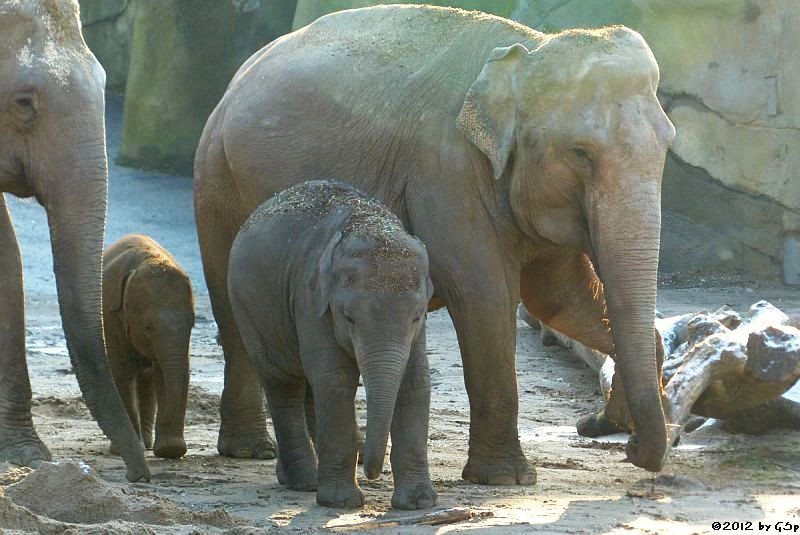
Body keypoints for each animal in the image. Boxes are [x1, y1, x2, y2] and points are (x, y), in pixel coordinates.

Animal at [102, 236, 195, 460]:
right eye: (148, 327)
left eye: (193, 323)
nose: (164, 418)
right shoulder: (111, 315)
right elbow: (122, 372)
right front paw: (129, 448)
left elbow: (174, 372)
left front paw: (170, 450)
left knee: (148, 379)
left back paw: (147, 443)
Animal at [225, 180, 438, 510]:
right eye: (349, 317)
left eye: (417, 317)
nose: (372, 473)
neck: (366, 222)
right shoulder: (309, 299)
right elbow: (336, 380)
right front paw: (342, 503)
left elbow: (415, 382)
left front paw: (418, 503)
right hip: (249, 309)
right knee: (284, 384)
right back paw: (304, 482)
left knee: (310, 388)